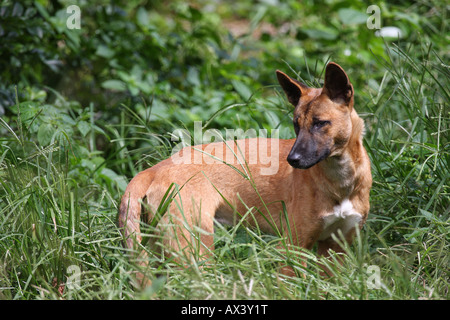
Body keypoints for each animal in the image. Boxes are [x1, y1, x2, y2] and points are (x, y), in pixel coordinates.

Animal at [118, 62, 372, 284]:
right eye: (296, 125)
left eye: (320, 123)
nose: (293, 159)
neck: (341, 185)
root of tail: (155, 168)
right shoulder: (294, 245)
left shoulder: (336, 248)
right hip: (195, 252)